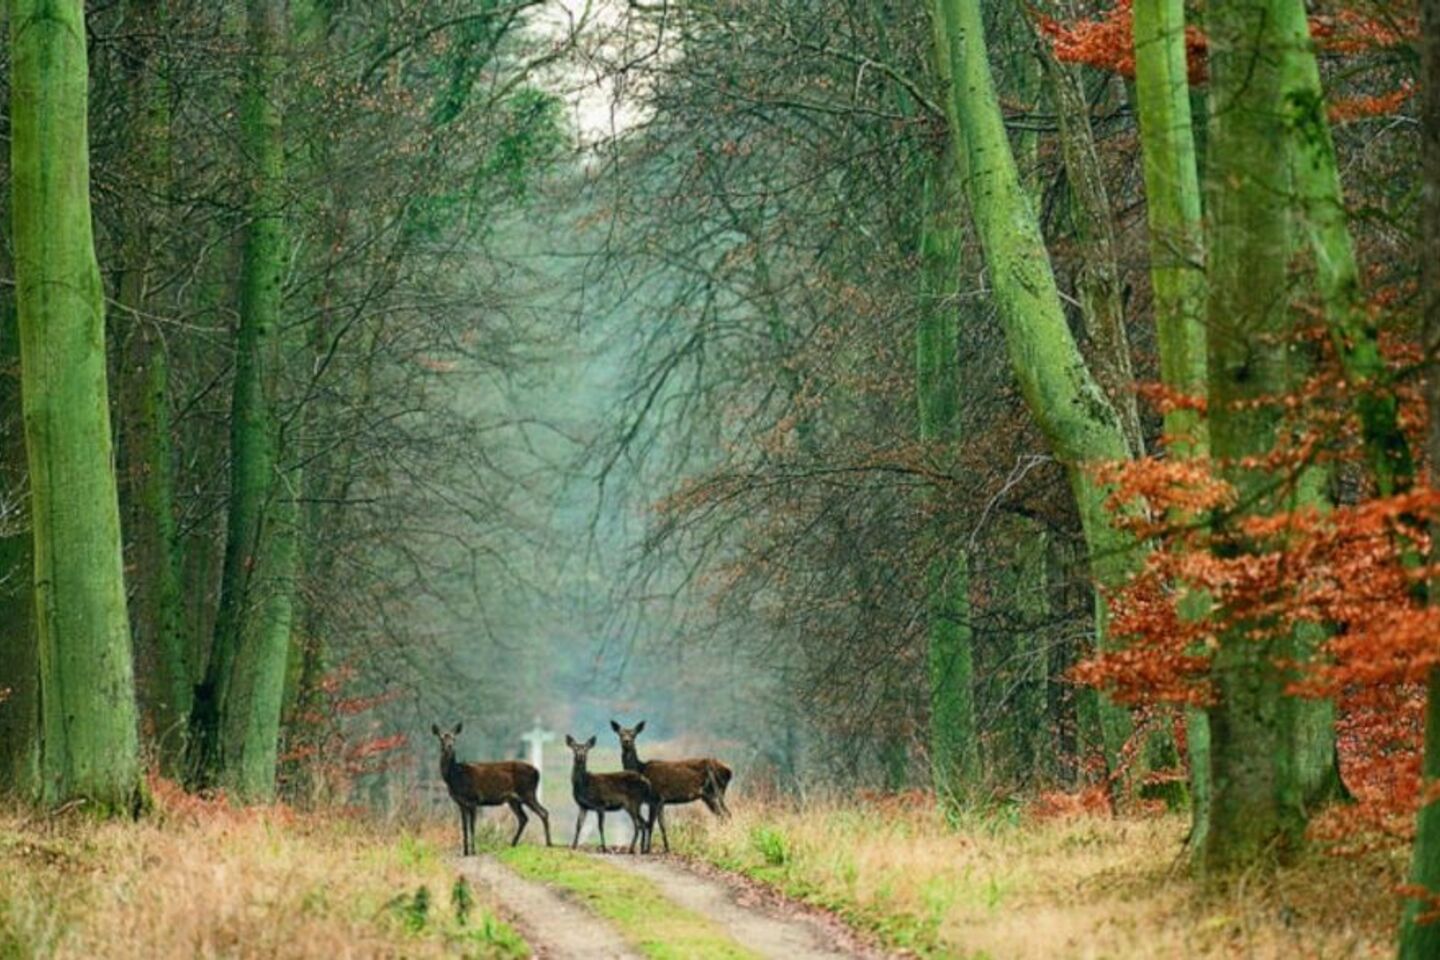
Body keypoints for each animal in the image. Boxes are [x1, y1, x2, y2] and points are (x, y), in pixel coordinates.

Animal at [426, 719, 550, 857]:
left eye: (454, 738)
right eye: (441, 738)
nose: (449, 746)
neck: (455, 777)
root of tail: (537, 772)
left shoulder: (473, 799)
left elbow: (472, 827)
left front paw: (473, 851)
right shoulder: (461, 803)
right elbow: (464, 827)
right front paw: (465, 852)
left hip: (527, 792)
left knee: (543, 812)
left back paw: (549, 844)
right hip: (514, 799)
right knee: (524, 818)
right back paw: (512, 844)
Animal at [610, 719, 737, 857]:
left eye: (634, 734)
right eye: (620, 734)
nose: (626, 741)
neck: (641, 769)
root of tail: (729, 771)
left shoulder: (655, 797)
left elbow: (651, 824)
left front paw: (647, 850)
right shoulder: (660, 801)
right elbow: (661, 825)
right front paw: (666, 848)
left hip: (712, 792)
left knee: (725, 815)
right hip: (711, 795)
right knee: (724, 815)